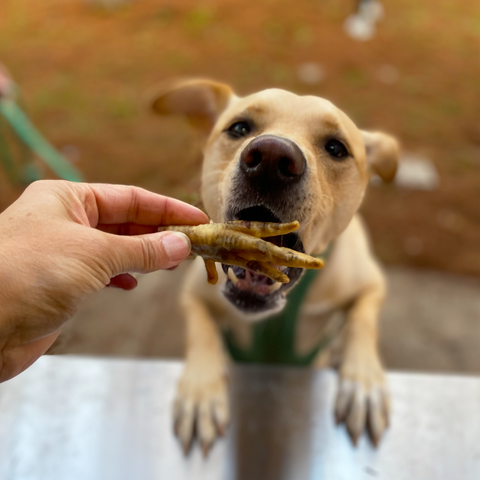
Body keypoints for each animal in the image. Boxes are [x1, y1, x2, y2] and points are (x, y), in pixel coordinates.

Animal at [151, 79, 398, 454]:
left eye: (336, 148)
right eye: (239, 128)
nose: (270, 157)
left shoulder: (371, 283)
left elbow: (362, 321)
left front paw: (363, 385)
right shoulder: (192, 297)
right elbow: (201, 333)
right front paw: (200, 393)